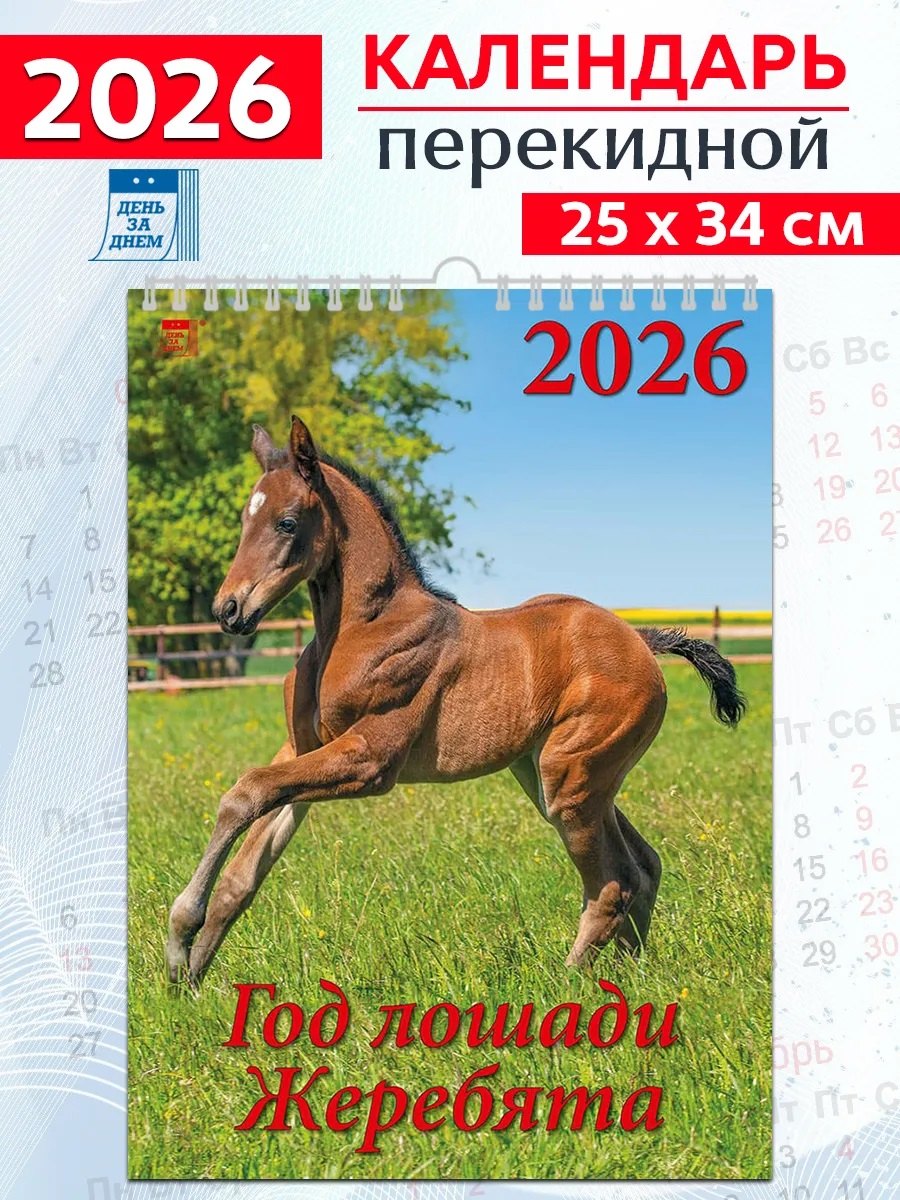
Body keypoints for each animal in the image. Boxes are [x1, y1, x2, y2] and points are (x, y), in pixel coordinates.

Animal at [166, 416, 745, 988]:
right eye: (245, 519)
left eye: (287, 522)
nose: (228, 609)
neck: (361, 629)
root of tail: (641, 641)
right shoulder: (304, 750)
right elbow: (244, 864)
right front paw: (189, 975)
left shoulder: (369, 759)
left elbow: (246, 791)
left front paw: (179, 949)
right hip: (556, 778)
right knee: (644, 866)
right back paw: (628, 977)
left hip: (572, 781)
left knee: (613, 883)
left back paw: (568, 983)